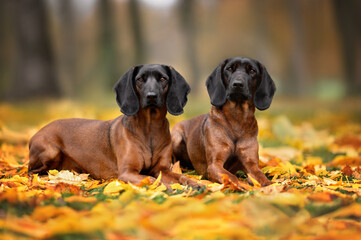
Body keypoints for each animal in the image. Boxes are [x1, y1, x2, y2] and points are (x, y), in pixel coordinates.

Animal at [28, 64, 198, 187]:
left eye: (163, 78)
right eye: (140, 79)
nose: (151, 96)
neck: (150, 129)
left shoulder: (162, 169)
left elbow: (180, 175)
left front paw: (194, 183)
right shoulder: (127, 172)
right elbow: (150, 180)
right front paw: (167, 187)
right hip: (51, 151)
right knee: (32, 171)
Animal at [172, 57, 276, 187]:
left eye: (252, 71)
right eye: (230, 68)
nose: (238, 84)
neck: (237, 119)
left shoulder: (251, 163)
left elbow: (261, 177)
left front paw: (270, 185)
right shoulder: (214, 164)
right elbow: (231, 177)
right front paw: (242, 186)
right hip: (176, 137)